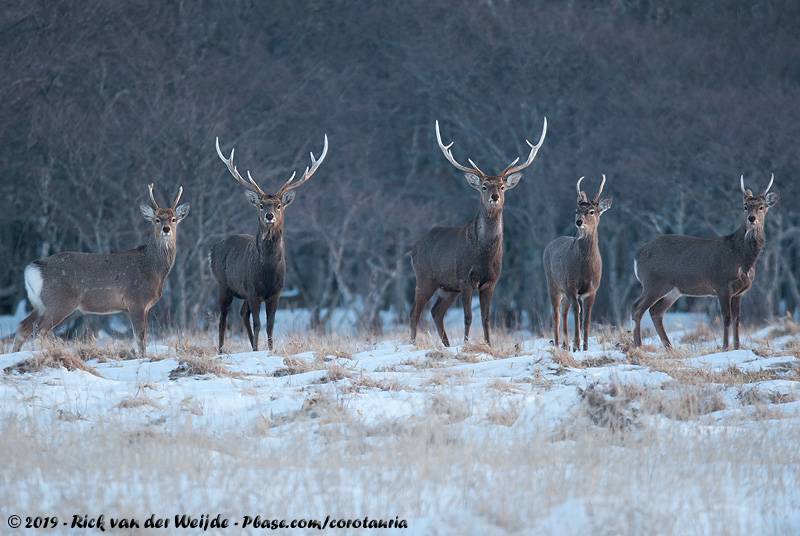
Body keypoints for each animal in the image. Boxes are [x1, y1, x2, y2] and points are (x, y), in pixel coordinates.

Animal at [12, 184, 189, 356]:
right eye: (157, 219)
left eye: (173, 219)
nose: (166, 229)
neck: (154, 268)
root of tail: (34, 268)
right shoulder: (136, 301)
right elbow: (140, 337)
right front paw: (143, 358)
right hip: (59, 301)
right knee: (39, 330)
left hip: (41, 303)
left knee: (23, 326)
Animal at [211, 134, 330, 352]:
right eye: (261, 205)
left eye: (279, 205)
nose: (269, 215)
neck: (267, 270)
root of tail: (213, 250)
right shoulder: (253, 290)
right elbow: (258, 323)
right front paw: (259, 350)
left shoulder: (276, 292)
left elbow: (271, 325)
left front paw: (269, 349)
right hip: (223, 284)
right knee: (223, 318)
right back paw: (222, 350)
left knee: (242, 313)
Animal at [410, 116, 548, 348]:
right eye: (484, 186)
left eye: (502, 186)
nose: (494, 197)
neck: (484, 254)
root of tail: (413, 247)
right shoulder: (466, 278)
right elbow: (468, 317)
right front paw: (466, 344)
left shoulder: (491, 282)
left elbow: (486, 318)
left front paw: (488, 345)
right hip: (425, 277)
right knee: (415, 313)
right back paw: (413, 343)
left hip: (448, 288)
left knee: (436, 312)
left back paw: (447, 345)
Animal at [544, 175, 612, 352]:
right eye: (576, 211)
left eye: (592, 211)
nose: (579, 222)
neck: (585, 268)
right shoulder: (570, 285)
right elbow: (577, 311)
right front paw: (577, 343)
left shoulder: (593, 289)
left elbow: (587, 317)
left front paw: (585, 347)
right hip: (553, 284)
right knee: (556, 314)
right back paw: (558, 344)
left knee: (563, 310)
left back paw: (565, 345)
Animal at [636, 175, 780, 352]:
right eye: (745, 206)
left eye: (761, 207)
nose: (751, 219)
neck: (741, 259)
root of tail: (637, 256)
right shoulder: (722, 285)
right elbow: (726, 318)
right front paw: (725, 348)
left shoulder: (740, 292)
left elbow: (737, 320)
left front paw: (737, 347)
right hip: (654, 283)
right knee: (637, 309)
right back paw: (637, 345)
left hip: (673, 290)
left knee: (655, 311)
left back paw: (669, 347)